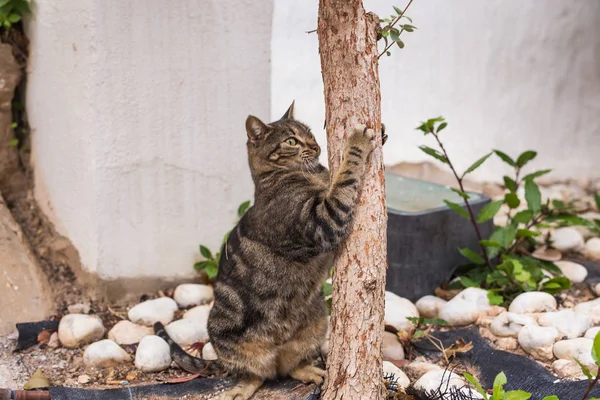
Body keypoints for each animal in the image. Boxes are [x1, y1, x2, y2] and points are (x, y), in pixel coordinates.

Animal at [155, 103, 384, 400]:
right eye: (291, 141)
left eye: (310, 133)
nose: (315, 145)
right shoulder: (323, 221)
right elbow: (345, 179)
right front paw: (357, 142)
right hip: (225, 335)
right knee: (254, 374)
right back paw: (241, 388)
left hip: (316, 320)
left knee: (289, 366)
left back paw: (309, 371)